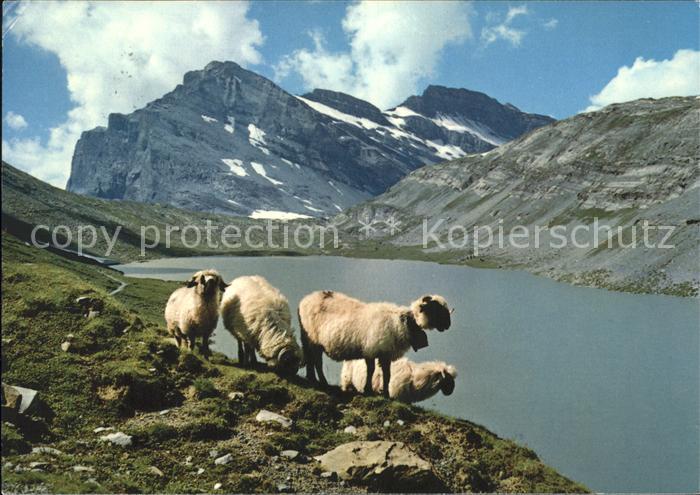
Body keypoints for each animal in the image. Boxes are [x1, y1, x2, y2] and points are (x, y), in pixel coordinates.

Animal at [298, 291, 452, 397]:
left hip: (309, 338)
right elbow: (370, 370)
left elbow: (387, 374)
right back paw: (322, 382)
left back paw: (312, 378)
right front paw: (368, 390)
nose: (448, 325)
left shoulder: (386, 353)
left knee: (311, 359)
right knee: (317, 361)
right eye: (436, 307)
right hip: (313, 338)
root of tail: (305, 300)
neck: (403, 322)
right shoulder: (371, 349)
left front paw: (386, 394)